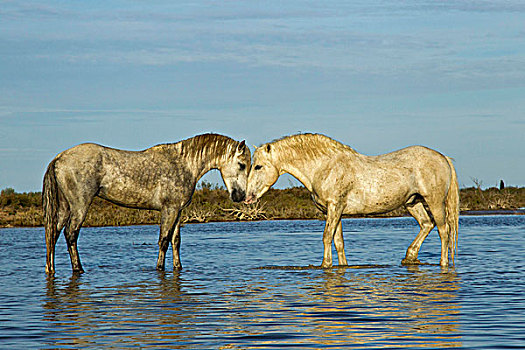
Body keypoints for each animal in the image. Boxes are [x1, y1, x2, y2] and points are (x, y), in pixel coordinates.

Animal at [43, 134, 250, 274]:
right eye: (241, 165)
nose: (240, 196)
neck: (183, 164)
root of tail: (59, 158)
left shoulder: (178, 211)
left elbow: (176, 241)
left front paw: (178, 267)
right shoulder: (169, 209)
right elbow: (164, 240)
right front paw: (159, 268)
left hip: (65, 207)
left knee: (53, 234)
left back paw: (50, 268)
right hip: (80, 205)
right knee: (71, 234)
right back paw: (79, 269)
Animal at [246, 134, 458, 268]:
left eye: (258, 166)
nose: (247, 197)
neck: (325, 167)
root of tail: (443, 158)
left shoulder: (334, 207)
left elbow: (326, 237)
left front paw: (325, 265)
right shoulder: (334, 211)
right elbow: (338, 241)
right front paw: (342, 266)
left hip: (435, 202)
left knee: (443, 230)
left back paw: (443, 263)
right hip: (413, 202)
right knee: (427, 224)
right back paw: (409, 257)